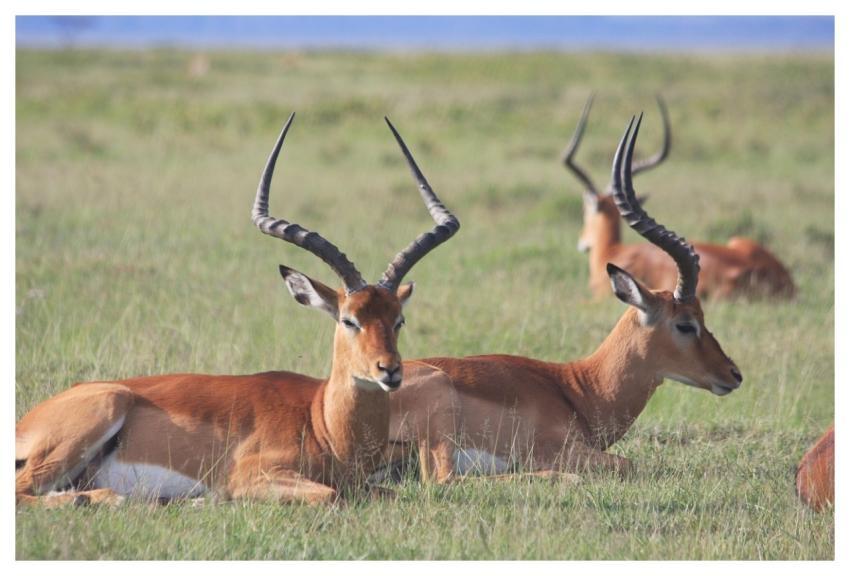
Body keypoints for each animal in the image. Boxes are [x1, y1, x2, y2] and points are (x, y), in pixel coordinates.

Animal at [15, 114, 459, 506]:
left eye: (398, 320)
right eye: (350, 320)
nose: (390, 371)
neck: (322, 423)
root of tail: (26, 422)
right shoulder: (250, 476)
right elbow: (330, 494)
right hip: (100, 412)